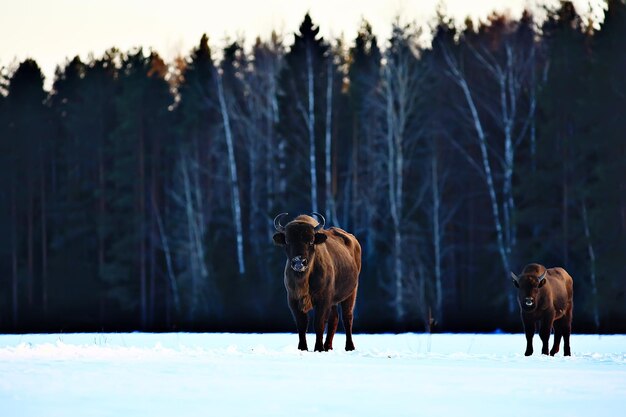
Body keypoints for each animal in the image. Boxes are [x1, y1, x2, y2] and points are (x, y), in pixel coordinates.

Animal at [270, 211, 358, 352]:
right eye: (287, 241)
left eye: (311, 241)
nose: (299, 262)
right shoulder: (293, 300)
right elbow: (302, 324)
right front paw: (303, 348)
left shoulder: (323, 300)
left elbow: (319, 323)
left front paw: (318, 348)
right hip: (334, 301)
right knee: (334, 319)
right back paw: (328, 346)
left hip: (351, 293)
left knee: (347, 317)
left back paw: (349, 347)